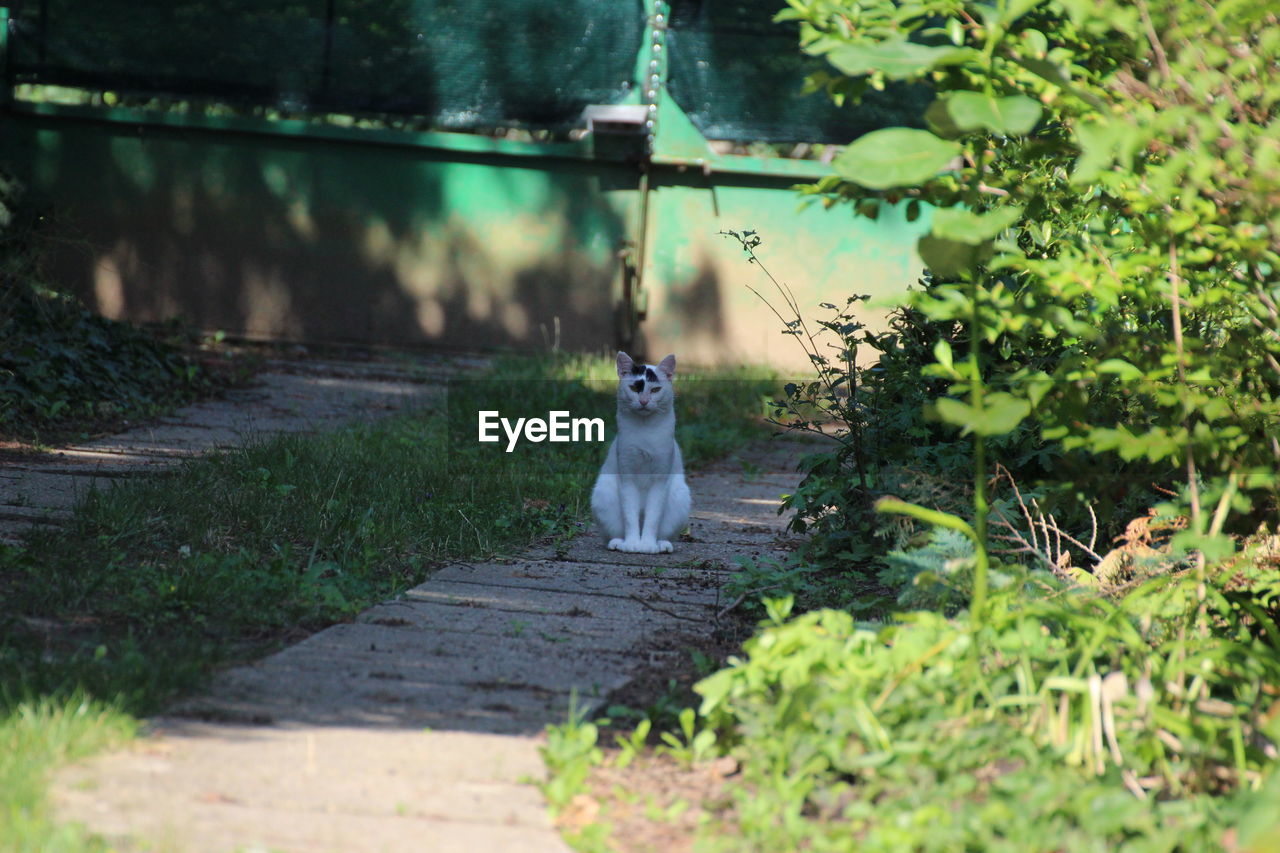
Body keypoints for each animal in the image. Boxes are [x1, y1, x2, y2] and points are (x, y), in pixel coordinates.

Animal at [588, 350, 691, 555]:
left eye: (655, 390)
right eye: (635, 388)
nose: (644, 401)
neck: (645, 430)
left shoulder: (660, 479)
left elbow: (652, 518)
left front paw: (648, 545)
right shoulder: (627, 475)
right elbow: (630, 516)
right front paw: (633, 544)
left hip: (680, 497)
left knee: (663, 531)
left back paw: (662, 545)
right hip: (603, 494)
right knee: (612, 534)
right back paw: (618, 543)